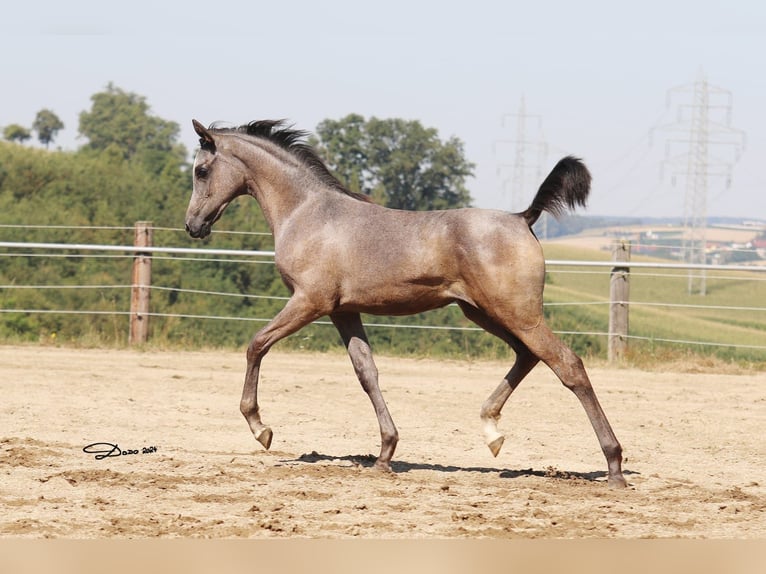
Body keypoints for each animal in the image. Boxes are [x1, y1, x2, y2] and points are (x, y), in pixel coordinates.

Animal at [186, 119, 632, 488]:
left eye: (201, 170)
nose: (193, 225)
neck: (308, 213)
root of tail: (522, 218)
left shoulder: (309, 301)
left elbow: (256, 344)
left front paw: (260, 428)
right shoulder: (343, 311)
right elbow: (366, 372)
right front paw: (385, 453)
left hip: (518, 313)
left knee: (568, 365)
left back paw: (614, 466)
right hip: (483, 311)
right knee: (527, 356)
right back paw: (492, 432)